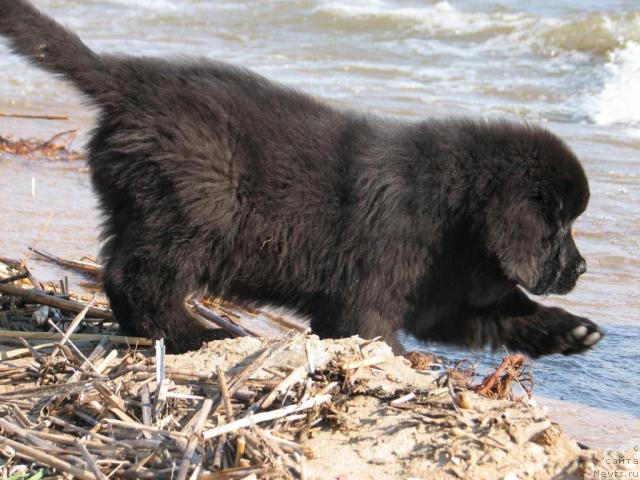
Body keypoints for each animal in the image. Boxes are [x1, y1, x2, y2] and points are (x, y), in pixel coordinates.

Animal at [0, 0, 604, 356]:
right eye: (559, 224)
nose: (581, 268)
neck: (455, 218)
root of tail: (125, 80)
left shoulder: (445, 300)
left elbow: (503, 314)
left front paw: (569, 329)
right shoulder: (368, 296)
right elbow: (373, 334)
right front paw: (401, 364)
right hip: (192, 212)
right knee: (138, 277)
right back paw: (193, 335)